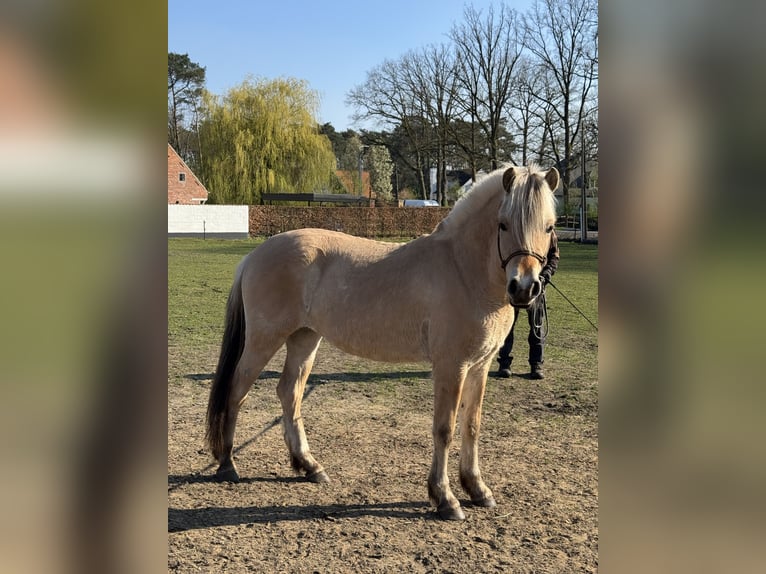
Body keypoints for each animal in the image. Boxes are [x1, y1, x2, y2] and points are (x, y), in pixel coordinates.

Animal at [205, 163, 559, 520]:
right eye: (503, 223)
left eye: (549, 226)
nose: (524, 288)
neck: (463, 270)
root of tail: (255, 255)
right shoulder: (452, 366)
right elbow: (444, 428)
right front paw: (445, 498)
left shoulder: (480, 366)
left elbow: (471, 425)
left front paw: (477, 489)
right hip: (264, 339)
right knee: (236, 390)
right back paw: (227, 464)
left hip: (304, 338)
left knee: (289, 393)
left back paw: (309, 466)